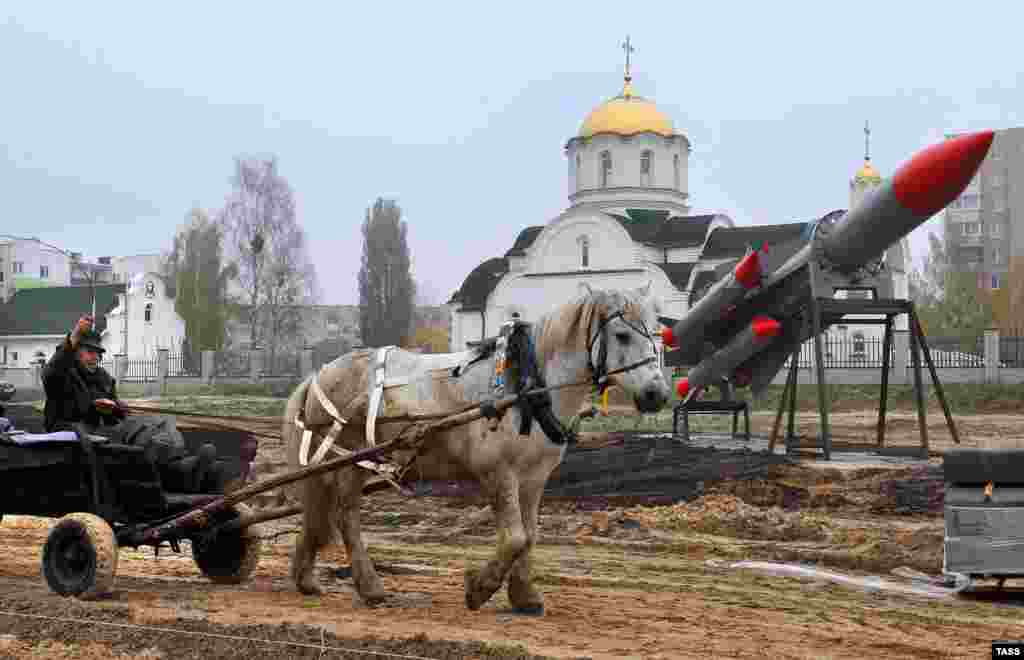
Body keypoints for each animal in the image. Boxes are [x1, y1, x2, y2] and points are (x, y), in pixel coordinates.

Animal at [280, 282, 667, 613]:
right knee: (346, 516)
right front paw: (479, 588)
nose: (657, 394)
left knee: (332, 514)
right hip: (347, 459)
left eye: (657, 335)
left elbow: (530, 536)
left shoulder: (534, 478)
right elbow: (514, 537)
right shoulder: (497, 472)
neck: (525, 388)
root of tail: (320, 373)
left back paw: (311, 578)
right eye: (622, 335)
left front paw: (524, 595)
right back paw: (369, 585)